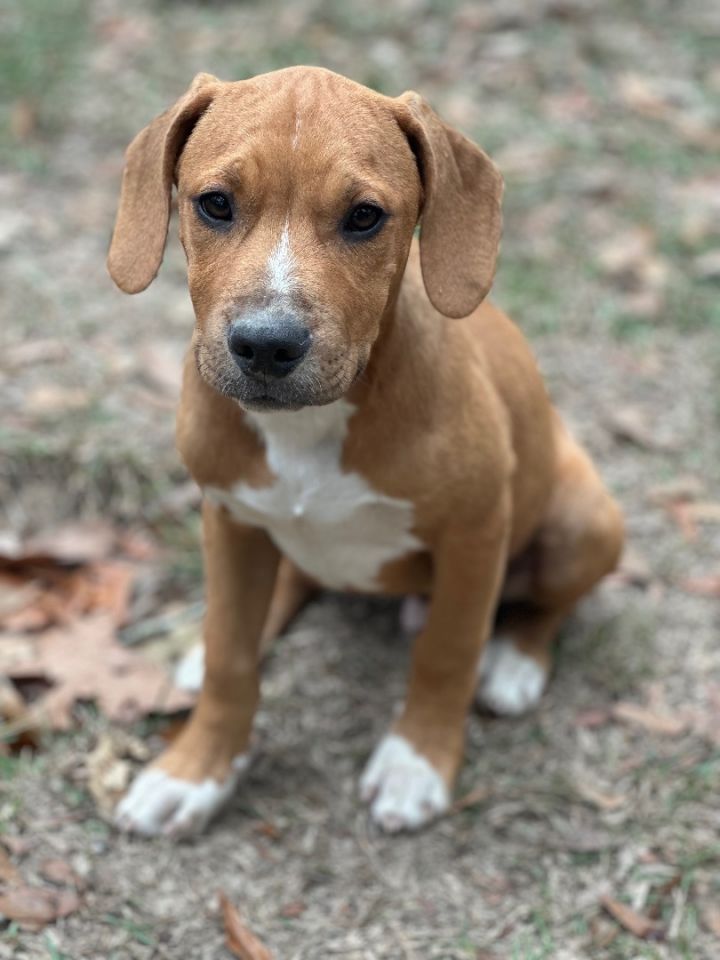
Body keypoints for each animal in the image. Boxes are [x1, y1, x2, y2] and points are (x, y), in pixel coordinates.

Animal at [108, 67, 624, 836]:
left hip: (585, 521)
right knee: (283, 584)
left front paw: (416, 763)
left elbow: (447, 651)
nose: (267, 345)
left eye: (363, 217)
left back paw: (515, 662)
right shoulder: (226, 516)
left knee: (546, 603)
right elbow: (232, 654)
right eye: (215, 204)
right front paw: (196, 770)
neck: (311, 428)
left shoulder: (477, 532)